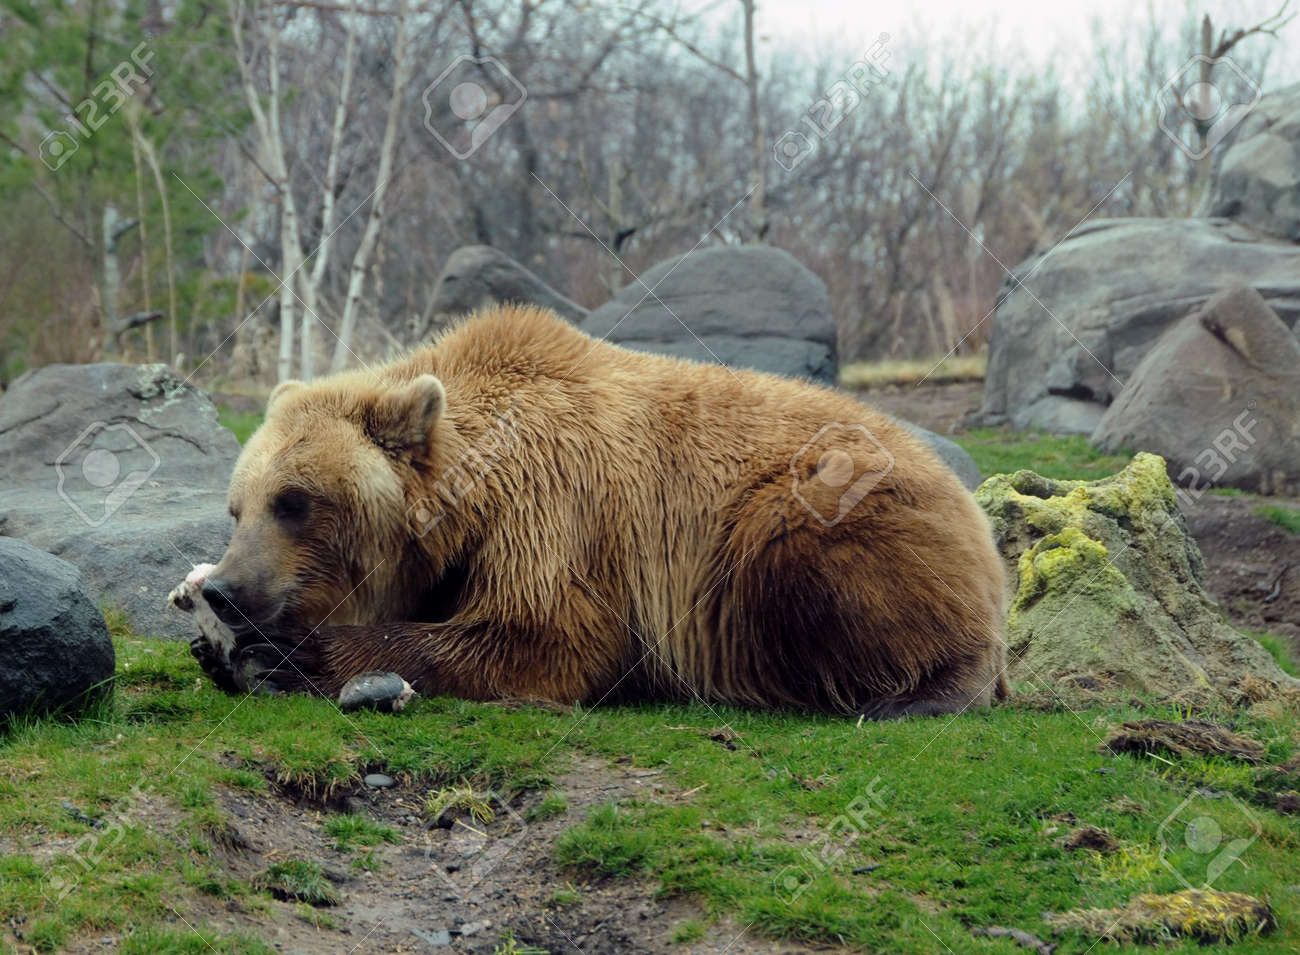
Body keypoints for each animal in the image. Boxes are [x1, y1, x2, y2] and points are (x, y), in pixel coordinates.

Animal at [197, 306, 1008, 717]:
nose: (225, 589)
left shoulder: (553, 508)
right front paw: (221, 649)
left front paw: (284, 654)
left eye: (294, 502)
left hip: (823, 509)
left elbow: (547, 637)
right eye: (237, 507)